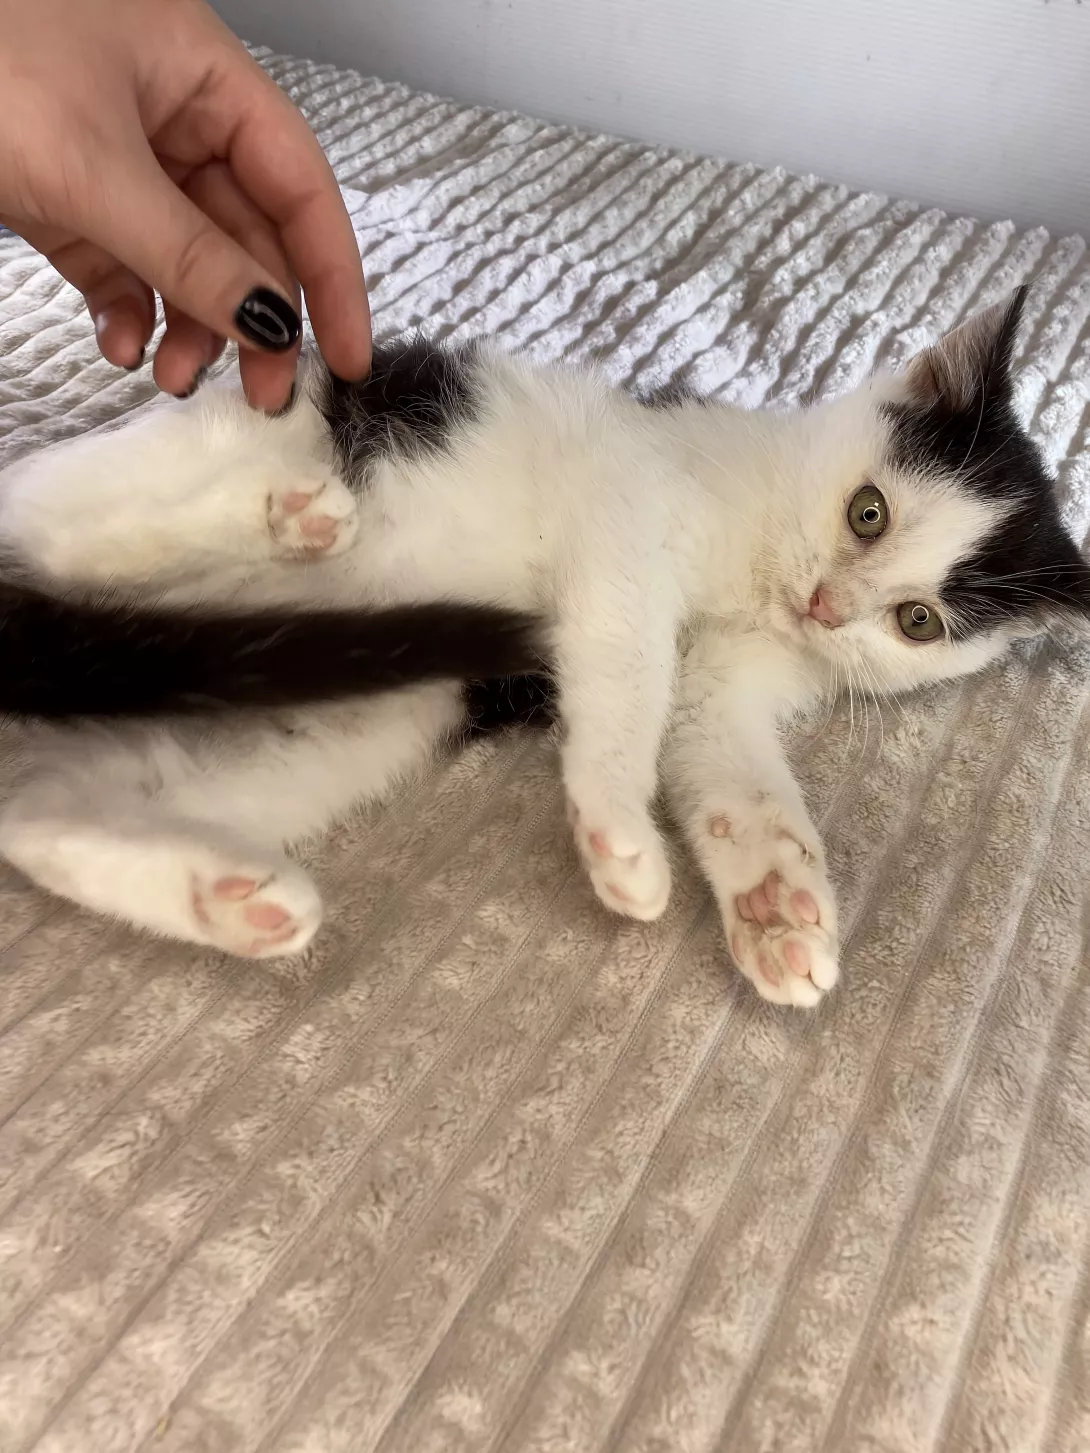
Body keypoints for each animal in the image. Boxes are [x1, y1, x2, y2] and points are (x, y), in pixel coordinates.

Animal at [0, 285, 1084, 1007]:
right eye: (868, 511)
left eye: (916, 622)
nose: (825, 604)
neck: (754, 562)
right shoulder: (625, 507)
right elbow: (630, 659)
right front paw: (615, 827)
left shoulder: (727, 677)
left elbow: (728, 769)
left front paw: (778, 907)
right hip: (243, 442)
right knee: (55, 531)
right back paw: (285, 517)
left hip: (325, 722)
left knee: (35, 812)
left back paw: (229, 895)